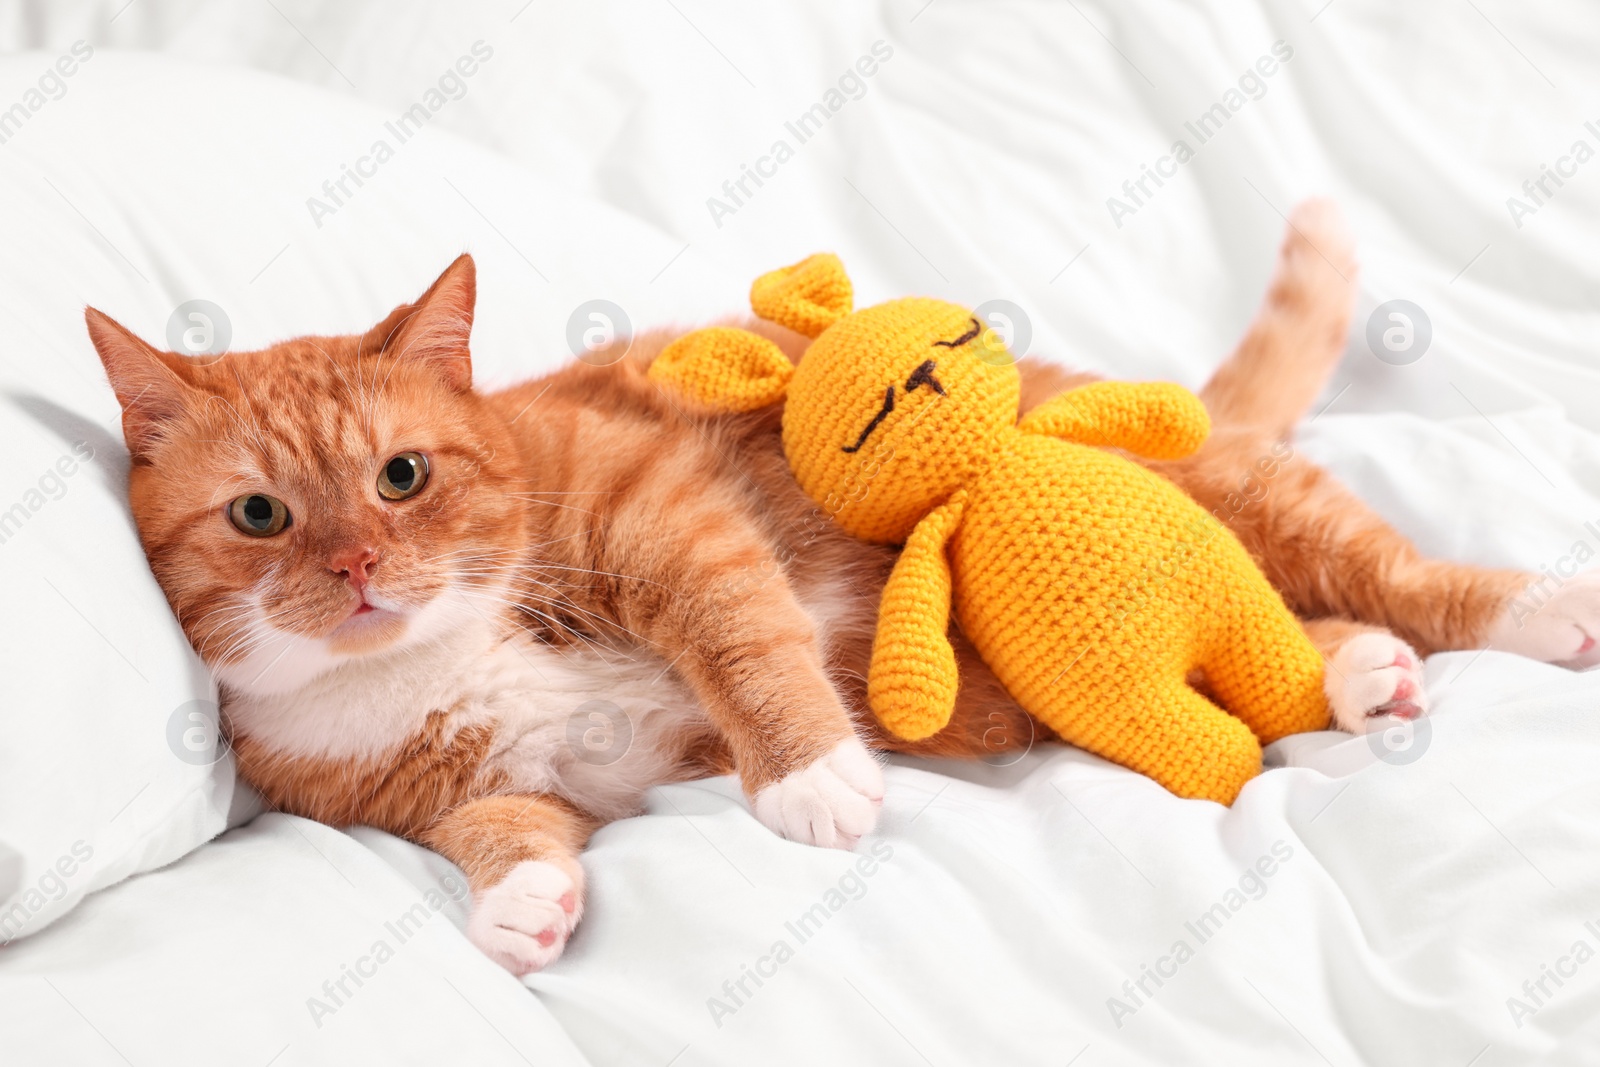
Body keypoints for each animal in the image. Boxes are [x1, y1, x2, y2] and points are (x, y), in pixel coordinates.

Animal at [87, 199, 1600, 979]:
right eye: (262, 514)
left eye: (401, 476)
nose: (354, 565)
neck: (426, 659)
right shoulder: (481, 788)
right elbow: (499, 826)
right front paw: (523, 901)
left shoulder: (661, 515)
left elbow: (744, 637)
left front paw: (810, 775)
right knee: (1284, 634)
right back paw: (1357, 669)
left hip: (1232, 497)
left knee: (1384, 568)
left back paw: (1529, 609)